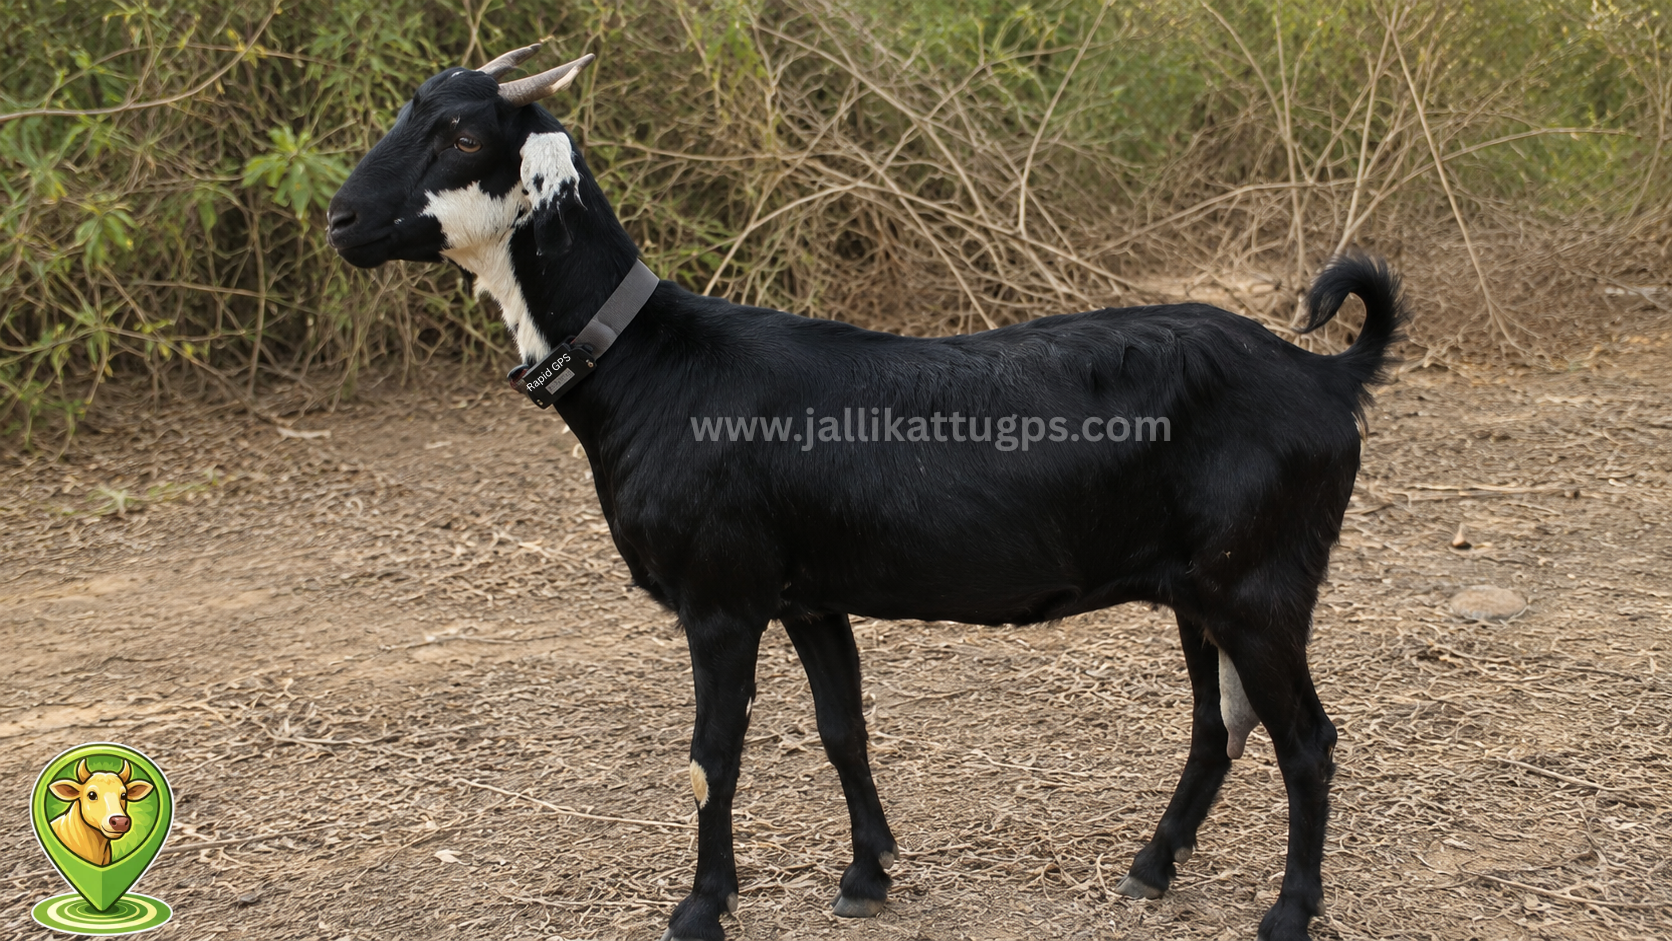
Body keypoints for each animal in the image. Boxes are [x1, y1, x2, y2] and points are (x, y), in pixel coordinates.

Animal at [327, 44, 1406, 941]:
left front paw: (700, 907)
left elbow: (710, 754)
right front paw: (868, 873)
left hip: (1259, 582)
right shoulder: (808, 593)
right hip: (1201, 586)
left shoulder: (721, 595)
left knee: (1306, 738)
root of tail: (1327, 376)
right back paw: (1151, 865)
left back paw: (1288, 912)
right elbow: (842, 729)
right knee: (1219, 725)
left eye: (463, 133)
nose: (341, 219)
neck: (650, 365)